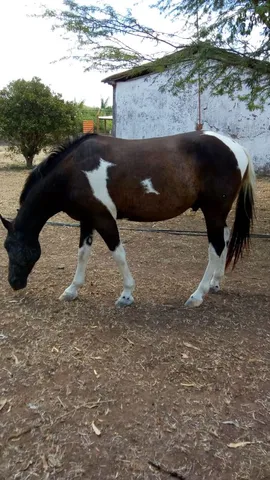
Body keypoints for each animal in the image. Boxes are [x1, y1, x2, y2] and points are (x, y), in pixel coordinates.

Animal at [0, 129, 255, 306]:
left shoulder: (104, 219)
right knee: (224, 238)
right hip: (217, 213)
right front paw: (72, 290)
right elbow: (83, 254)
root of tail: (237, 147)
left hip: (213, 211)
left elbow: (118, 254)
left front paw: (126, 294)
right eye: (7, 246)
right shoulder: (87, 219)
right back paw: (215, 282)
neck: (73, 171)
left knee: (216, 246)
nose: (14, 283)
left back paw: (197, 295)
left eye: (20, 248)